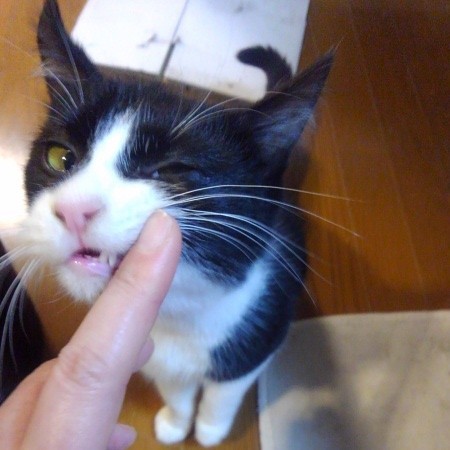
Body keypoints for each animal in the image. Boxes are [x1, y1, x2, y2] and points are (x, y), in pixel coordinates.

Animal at [7, 0, 332, 446]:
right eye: (60, 157)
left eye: (170, 172)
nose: (74, 209)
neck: (177, 318)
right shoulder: (151, 351)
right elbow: (175, 388)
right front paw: (176, 422)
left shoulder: (261, 333)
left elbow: (225, 390)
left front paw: (210, 429)